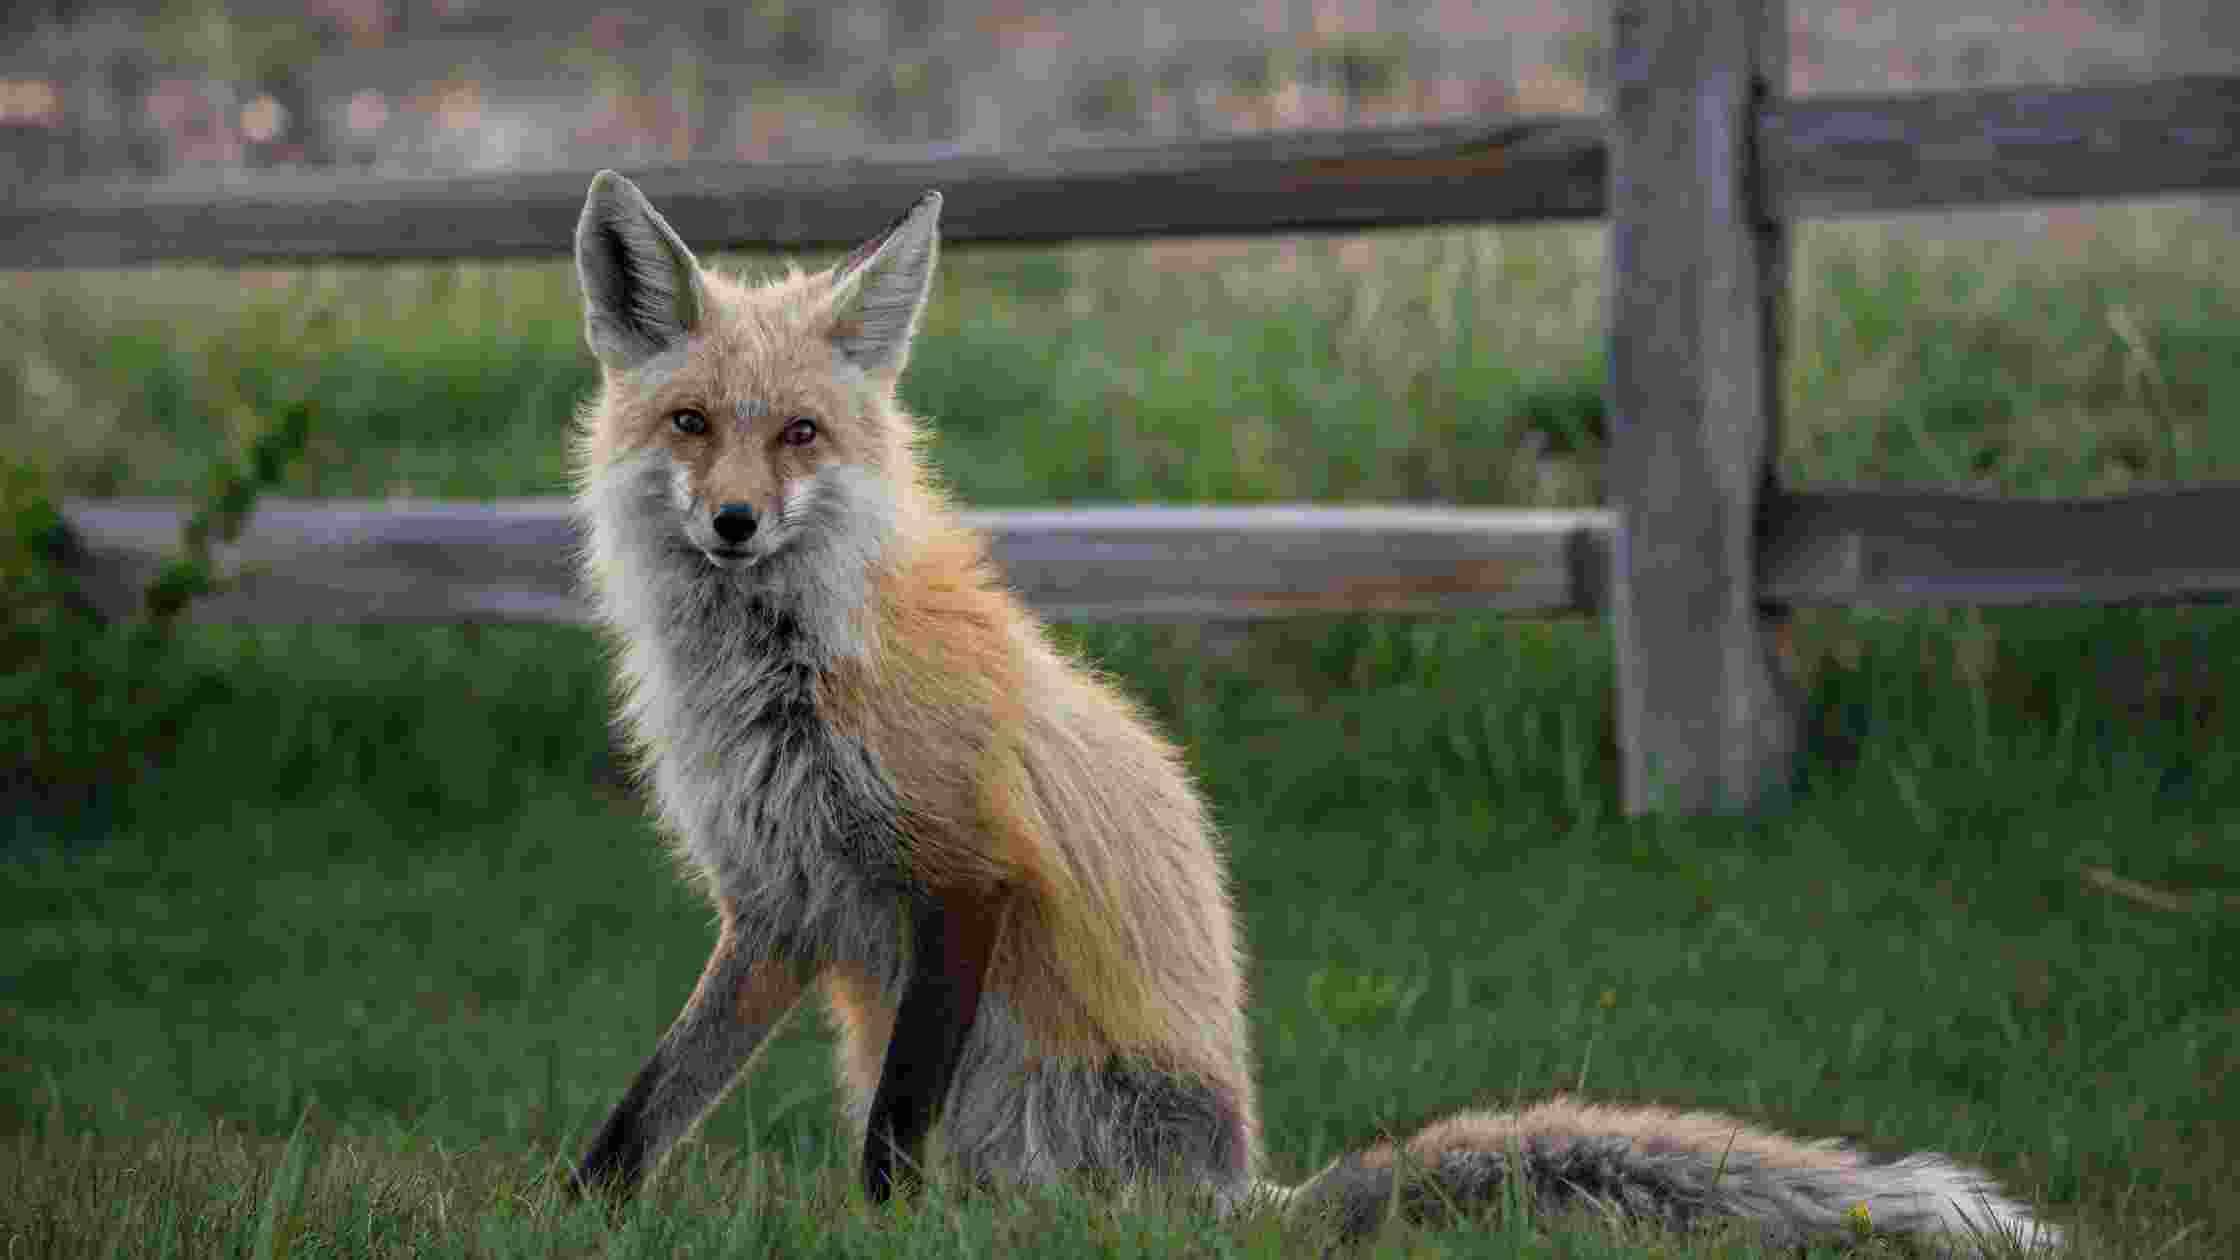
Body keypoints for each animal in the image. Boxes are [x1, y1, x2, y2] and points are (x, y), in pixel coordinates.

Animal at [562, 169, 2063, 1253]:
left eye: (801, 434)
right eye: (693, 425)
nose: (735, 523)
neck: (782, 673)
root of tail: (1236, 1190)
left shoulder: (967, 872)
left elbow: (890, 1141)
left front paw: (875, 1231)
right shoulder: (776, 908)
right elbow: (648, 1106)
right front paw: (576, 1213)